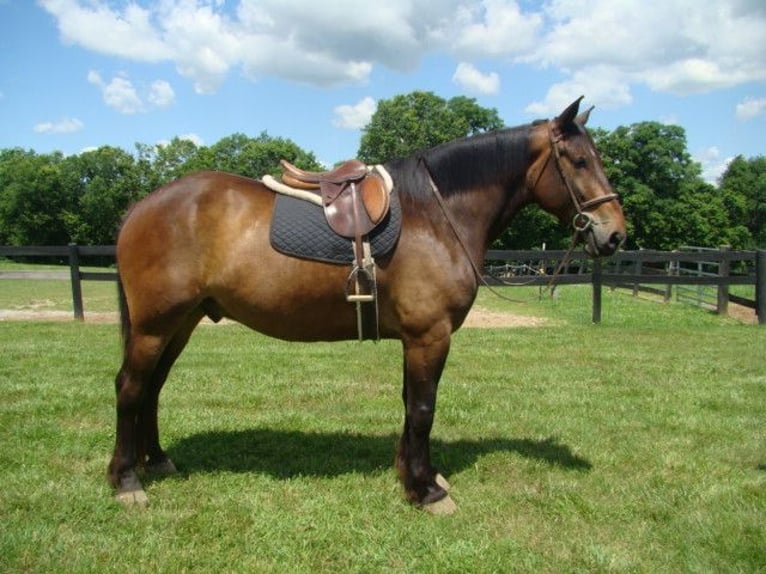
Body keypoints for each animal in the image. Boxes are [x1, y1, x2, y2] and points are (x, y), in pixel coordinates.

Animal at [108, 97, 628, 516]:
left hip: (181, 322)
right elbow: (423, 408)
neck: (435, 216)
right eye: (579, 160)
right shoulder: (429, 335)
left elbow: (410, 405)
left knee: (153, 387)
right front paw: (426, 492)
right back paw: (126, 480)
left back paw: (157, 461)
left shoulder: (416, 339)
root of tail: (142, 206)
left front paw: (417, 475)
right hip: (155, 326)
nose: (615, 235)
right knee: (131, 388)